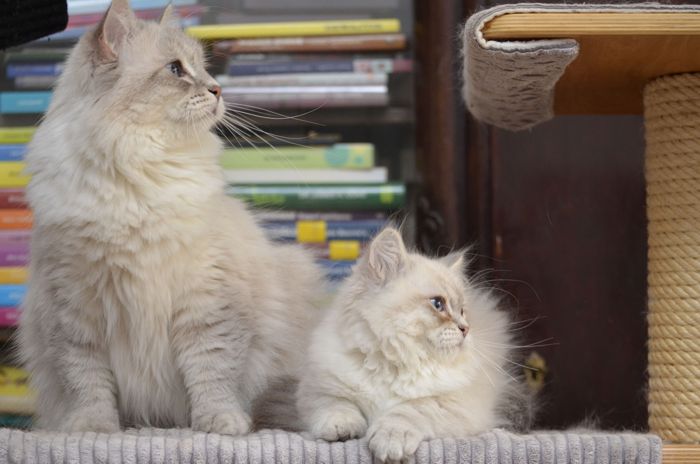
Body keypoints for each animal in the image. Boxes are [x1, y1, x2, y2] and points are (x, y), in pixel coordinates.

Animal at [17, 0, 324, 434]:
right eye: (176, 70)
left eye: (203, 69)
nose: (217, 89)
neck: (139, 172)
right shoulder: (74, 313)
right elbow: (87, 385)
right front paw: (95, 428)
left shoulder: (207, 303)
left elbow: (213, 375)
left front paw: (220, 424)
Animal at [297, 228, 531, 461]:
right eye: (438, 304)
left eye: (462, 311)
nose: (466, 328)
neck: (393, 363)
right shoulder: (318, 390)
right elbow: (336, 405)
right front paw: (342, 428)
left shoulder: (451, 404)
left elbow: (409, 410)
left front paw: (390, 440)